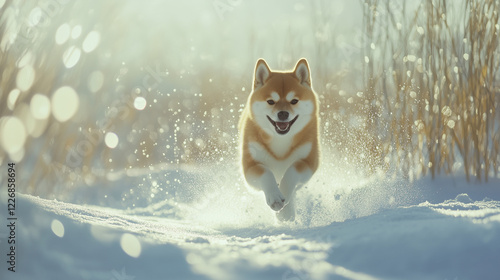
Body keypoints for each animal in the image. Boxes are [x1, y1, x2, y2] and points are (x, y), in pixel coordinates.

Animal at [239, 58, 320, 221]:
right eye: (271, 101)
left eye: (294, 101)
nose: (283, 113)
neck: (280, 141)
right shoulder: (250, 165)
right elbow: (266, 173)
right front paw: (275, 197)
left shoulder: (308, 161)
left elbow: (292, 172)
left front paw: (284, 198)